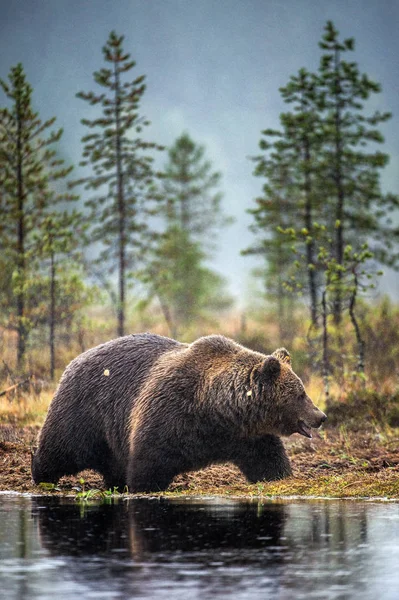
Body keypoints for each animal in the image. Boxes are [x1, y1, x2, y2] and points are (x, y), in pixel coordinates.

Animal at [30, 332, 324, 492]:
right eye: (300, 394)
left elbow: (269, 461)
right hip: (83, 411)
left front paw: (280, 475)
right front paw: (142, 486)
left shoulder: (249, 436)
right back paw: (40, 475)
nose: (321, 416)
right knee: (61, 448)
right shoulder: (169, 411)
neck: (218, 409)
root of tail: (73, 361)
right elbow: (149, 462)